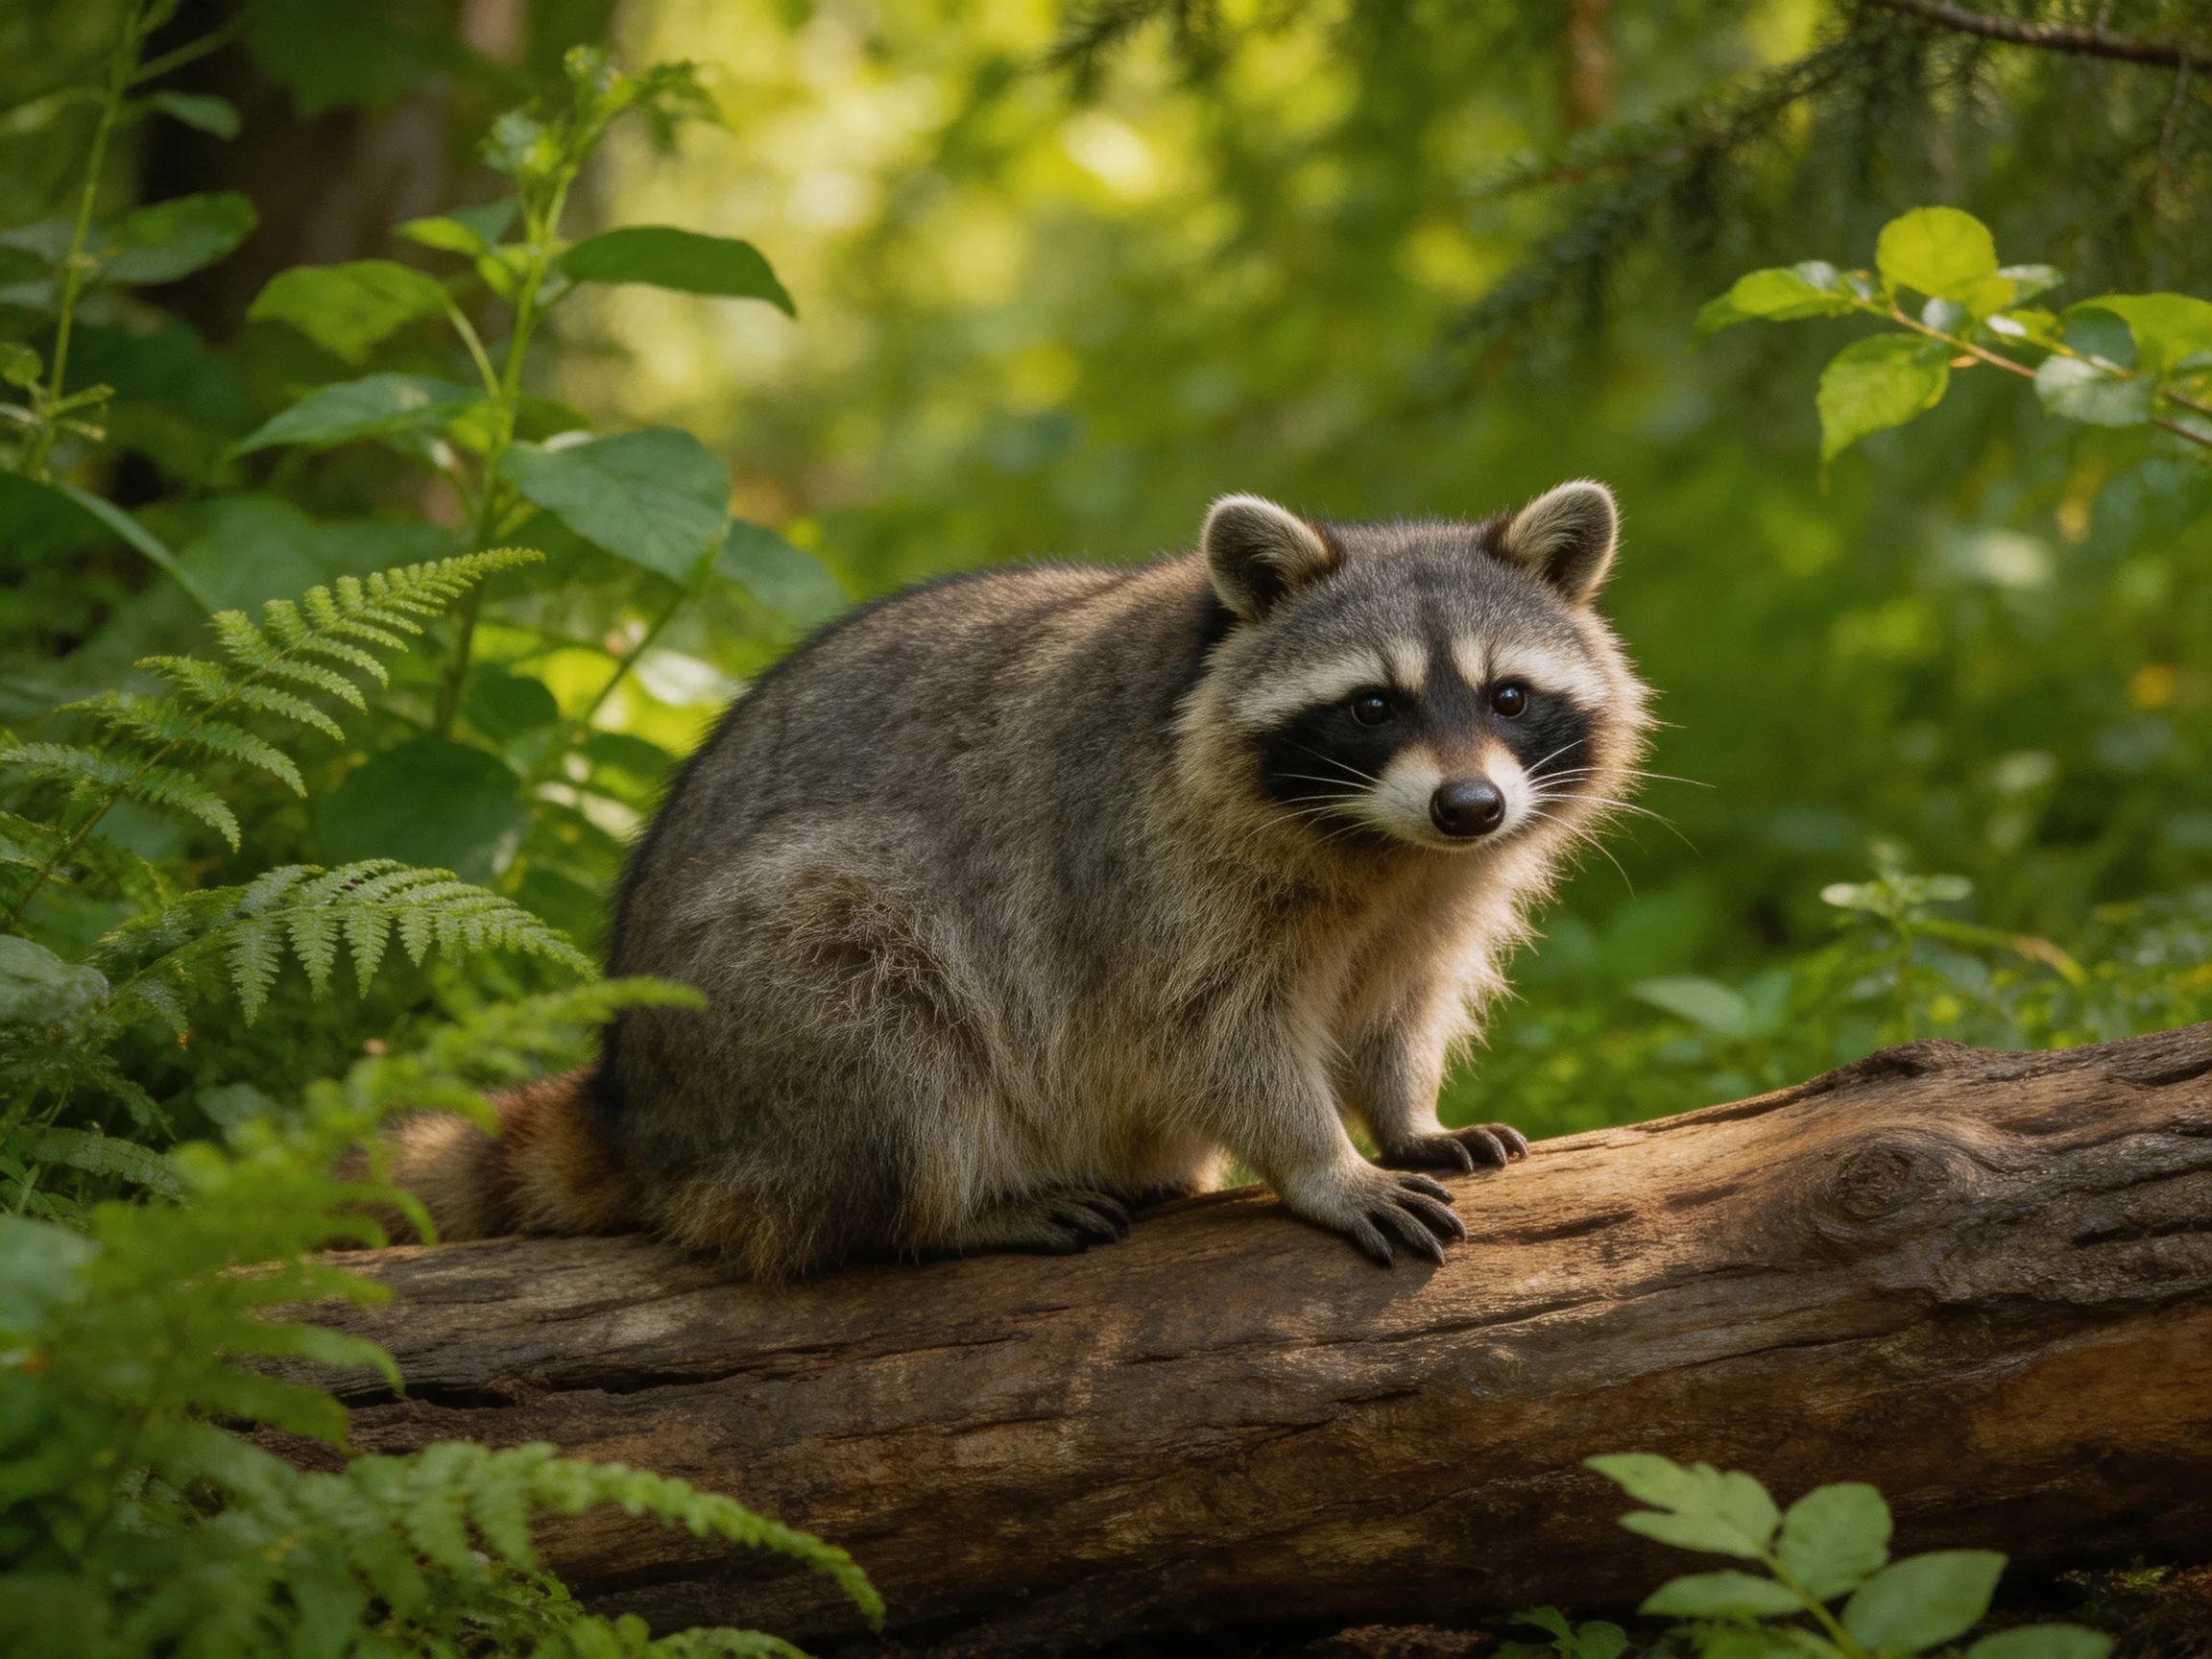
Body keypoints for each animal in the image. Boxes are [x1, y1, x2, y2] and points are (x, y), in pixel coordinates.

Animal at [391, 480, 1651, 1277]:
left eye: (1507, 696)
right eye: (1373, 707)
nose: (1469, 807)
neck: (1386, 848)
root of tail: (638, 1106)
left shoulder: (1438, 896)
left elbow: (1400, 1004)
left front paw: (1405, 1110)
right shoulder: (1143, 867)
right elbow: (1210, 1029)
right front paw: (1321, 1161)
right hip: (776, 1005)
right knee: (876, 1021)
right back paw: (939, 1213)